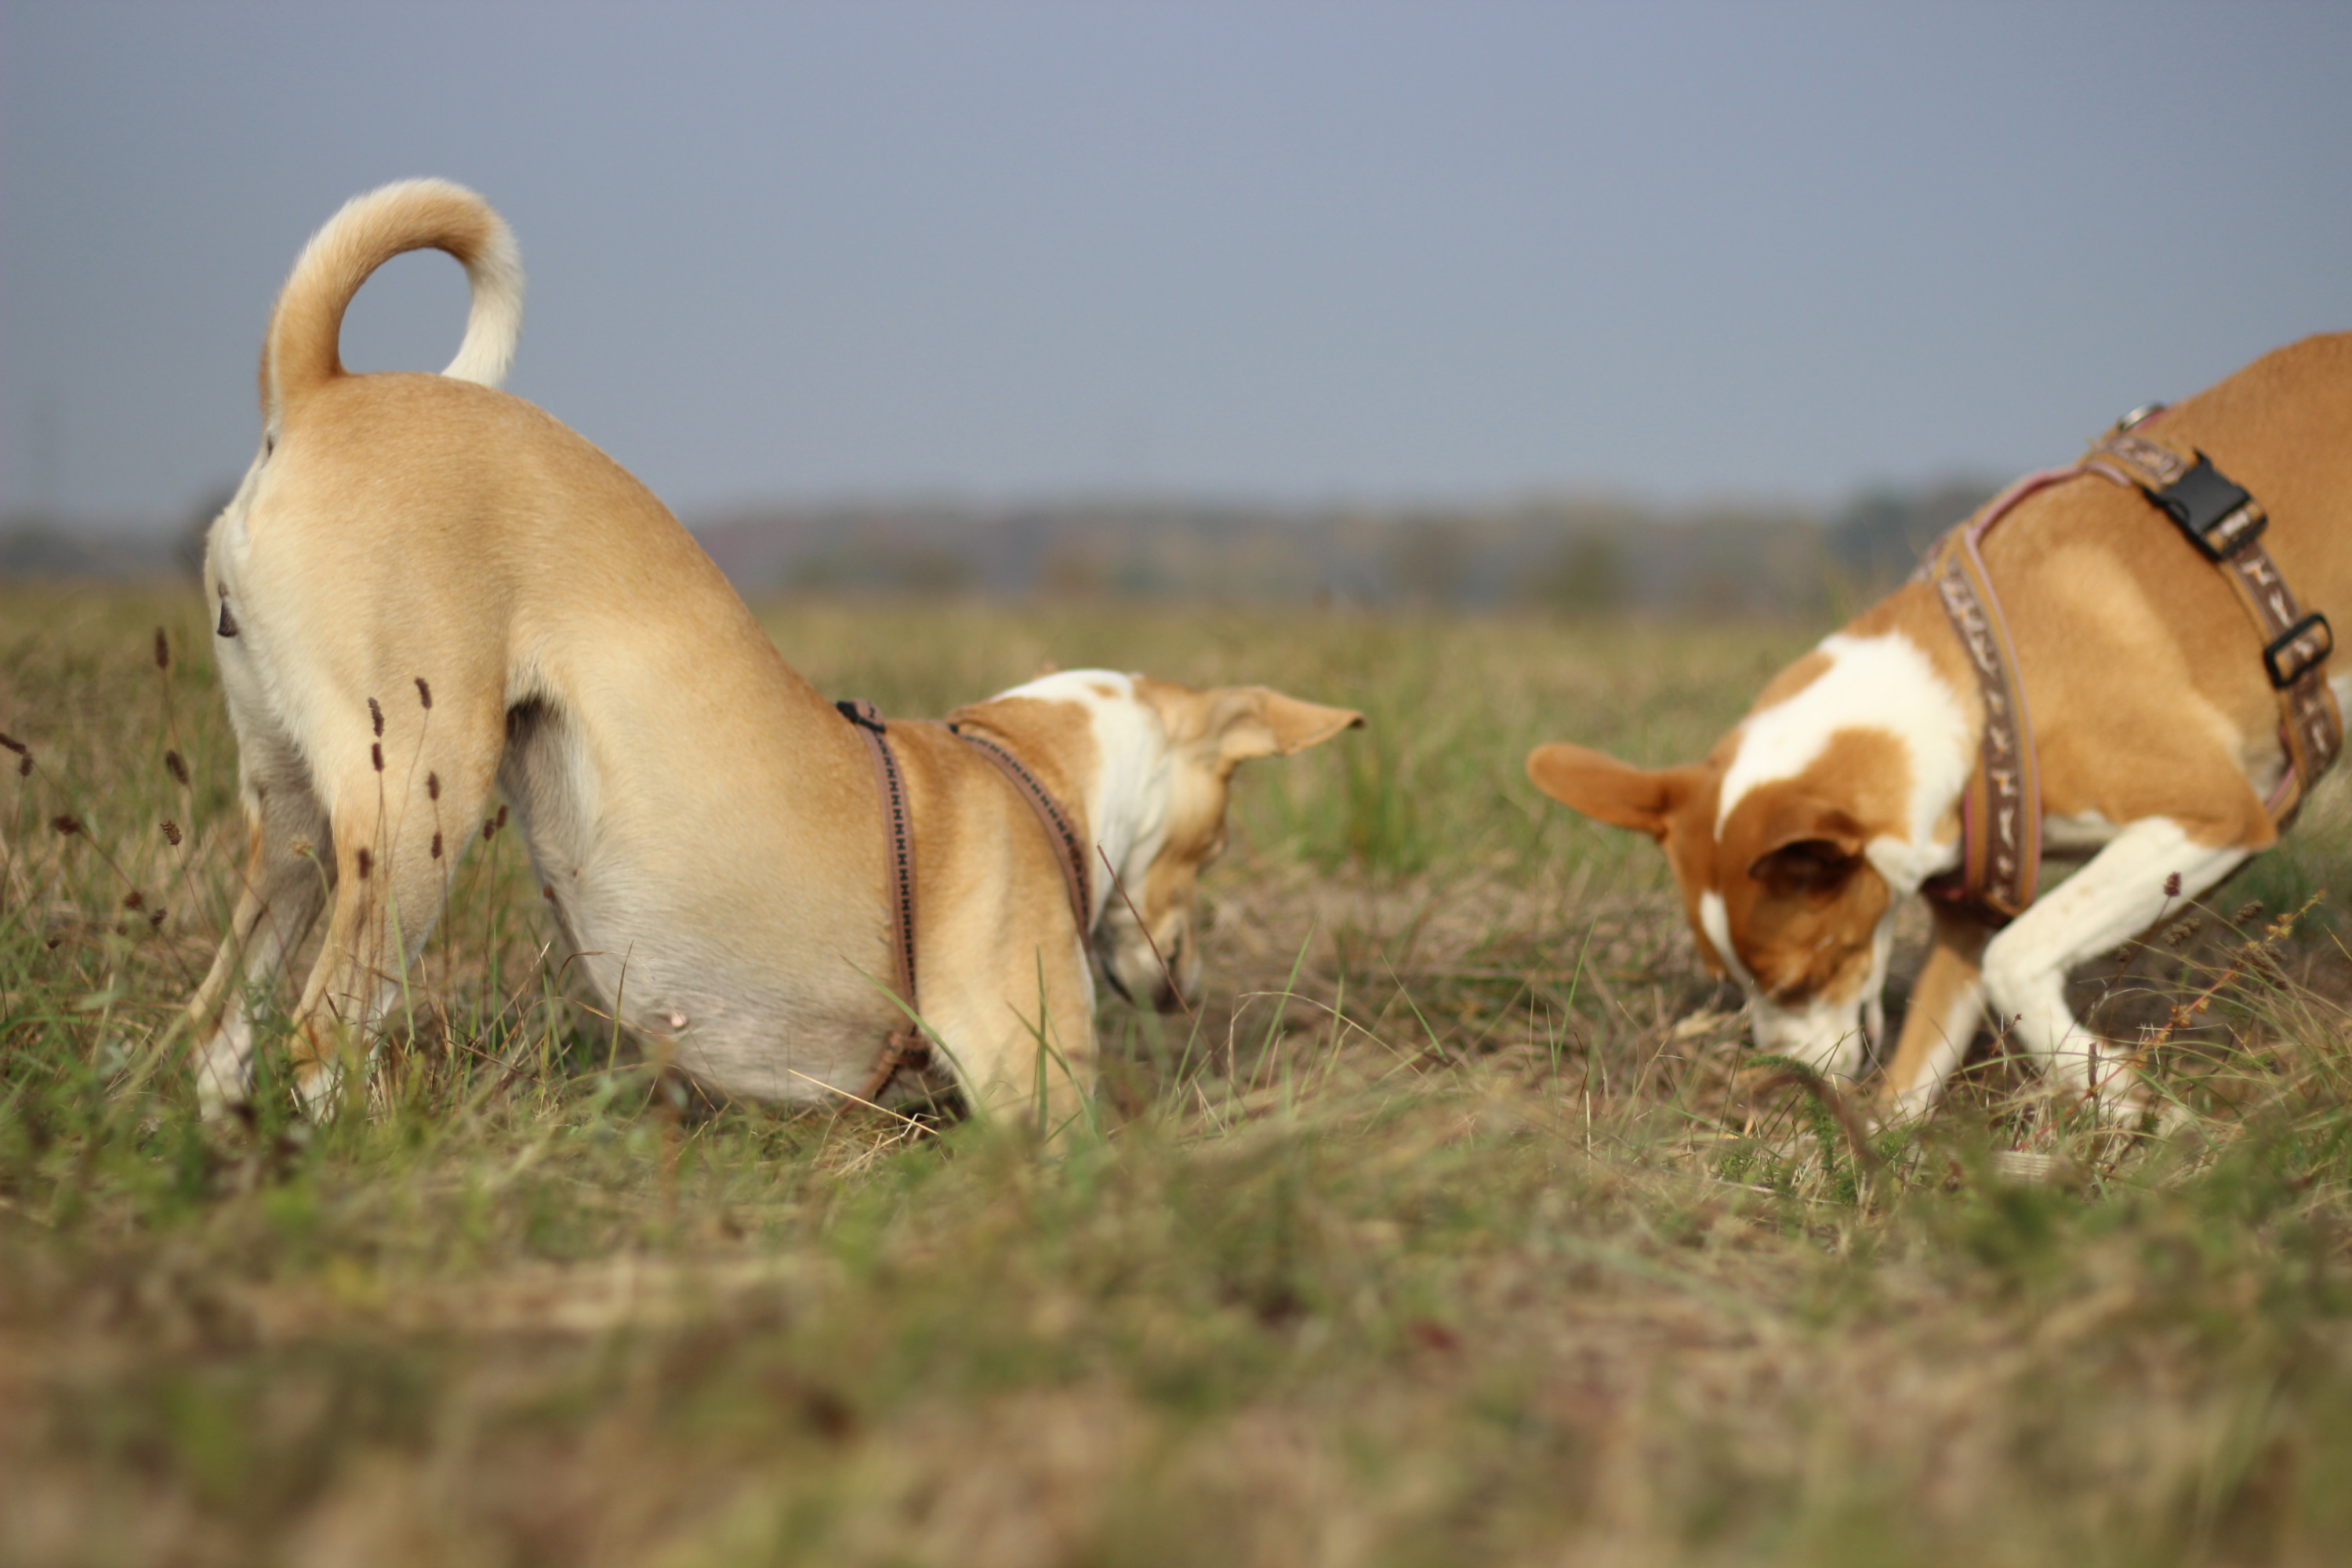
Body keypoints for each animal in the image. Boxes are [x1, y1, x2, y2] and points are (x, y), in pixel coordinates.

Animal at [188, 180, 1364, 1128]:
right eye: (1215, 846)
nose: (1187, 988)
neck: (1029, 774)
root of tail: (320, 386)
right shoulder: (1029, 1076)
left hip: (295, 824)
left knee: (219, 1028)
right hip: (419, 805)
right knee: (321, 1037)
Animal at [1524, 333, 2352, 1114]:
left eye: (1806, 975)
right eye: (1729, 978)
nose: (1784, 1084)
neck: (1977, 694)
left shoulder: (2219, 816)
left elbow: (2014, 962)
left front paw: (2126, 1102)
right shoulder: (1968, 915)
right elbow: (1915, 1073)